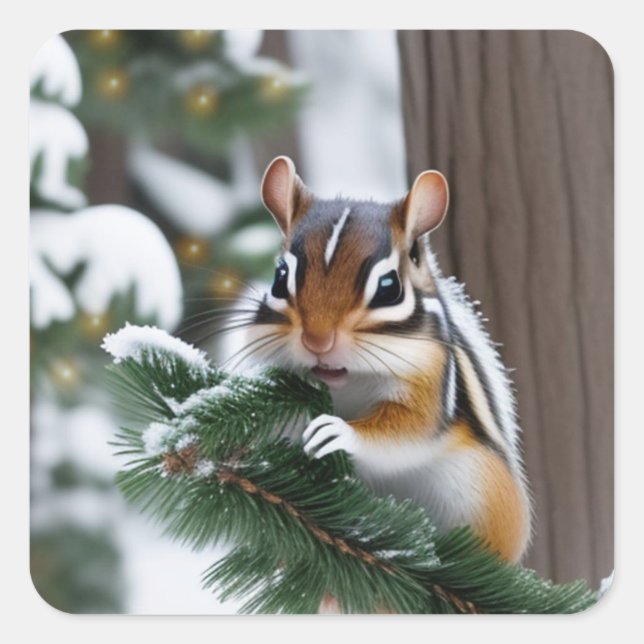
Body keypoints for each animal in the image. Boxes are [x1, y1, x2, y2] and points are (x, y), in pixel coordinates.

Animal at [232, 155, 532, 574]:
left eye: (389, 287)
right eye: (279, 278)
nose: (318, 340)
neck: (347, 383)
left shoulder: (431, 379)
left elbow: (407, 430)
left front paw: (337, 432)